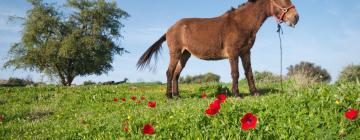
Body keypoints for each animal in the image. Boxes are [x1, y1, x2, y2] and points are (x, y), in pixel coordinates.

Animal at [136, 0, 300, 98]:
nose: (296, 17)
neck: (241, 23)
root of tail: (170, 28)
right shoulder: (233, 52)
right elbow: (235, 73)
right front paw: (237, 95)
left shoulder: (246, 52)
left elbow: (249, 73)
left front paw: (255, 93)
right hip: (175, 53)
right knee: (169, 72)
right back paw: (169, 96)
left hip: (185, 55)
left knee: (176, 74)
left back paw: (177, 95)